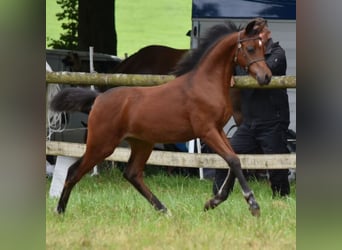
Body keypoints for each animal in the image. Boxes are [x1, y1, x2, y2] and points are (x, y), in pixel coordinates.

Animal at [50, 19, 272, 216]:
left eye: (263, 48)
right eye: (250, 48)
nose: (266, 77)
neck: (205, 83)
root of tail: (98, 98)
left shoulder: (218, 130)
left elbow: (235, 160)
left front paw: (213, 201)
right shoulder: (207, 131)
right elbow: (233, 160)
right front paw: (252, 204)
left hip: (142, 144)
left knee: (132, 174)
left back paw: (164, 210)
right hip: (102, 144)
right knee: (73, 171)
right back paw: (59, 211)